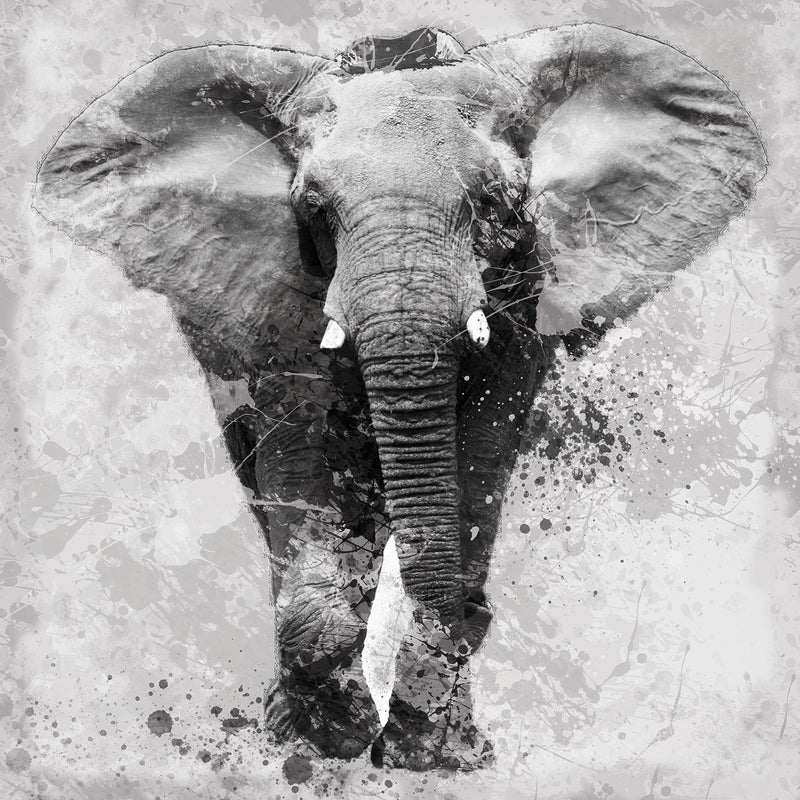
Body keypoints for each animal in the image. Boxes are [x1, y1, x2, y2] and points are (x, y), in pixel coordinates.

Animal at [33, 24, 765, 770]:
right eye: (314, 208)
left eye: (497, 204)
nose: (476, 616)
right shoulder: (279, 291)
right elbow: (300, 449)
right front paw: (322, 737)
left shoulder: (527, 285)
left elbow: (480, 450)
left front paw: (434, 752)